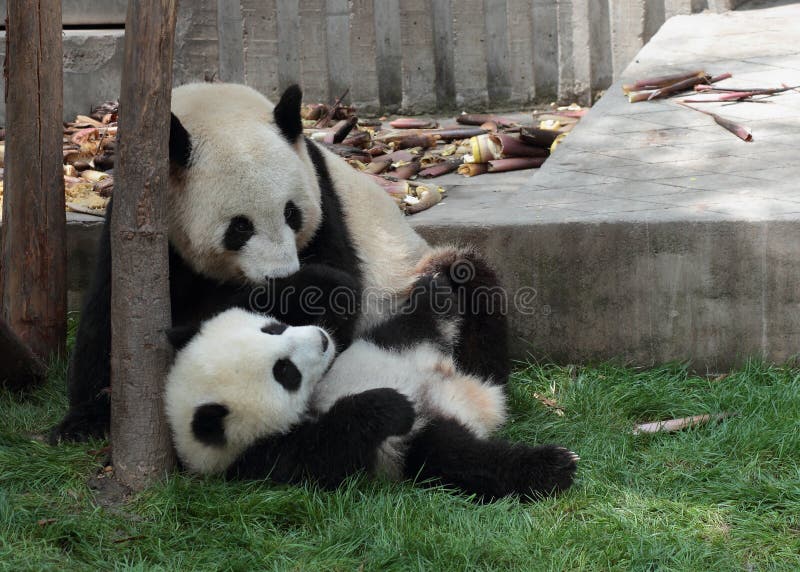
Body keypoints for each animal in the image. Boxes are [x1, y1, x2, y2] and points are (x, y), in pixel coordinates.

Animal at [53, 80, 510, 442]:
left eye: (292, 213)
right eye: (239, 228)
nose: (281, 275)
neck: (216, 107)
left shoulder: (324, 199)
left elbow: (340, 292)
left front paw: (305, 293)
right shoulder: (140, 217)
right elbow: (113, 312)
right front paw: (85, 419)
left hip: (417, 271)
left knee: (466, 284)